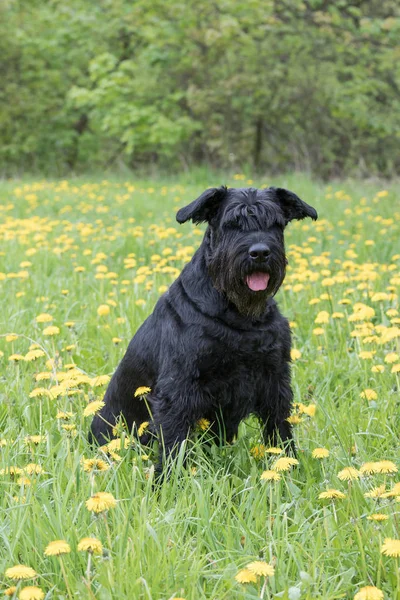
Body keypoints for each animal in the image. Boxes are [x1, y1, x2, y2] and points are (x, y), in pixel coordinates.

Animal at [90, 185, 316, 472]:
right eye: (232, 223)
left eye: (275, 223)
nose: (260, 252)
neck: (240, 314)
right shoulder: (180, 387)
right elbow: (174, 439)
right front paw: (168, 479)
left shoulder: (274, 379)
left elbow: (279, 428)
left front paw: (289, 464)